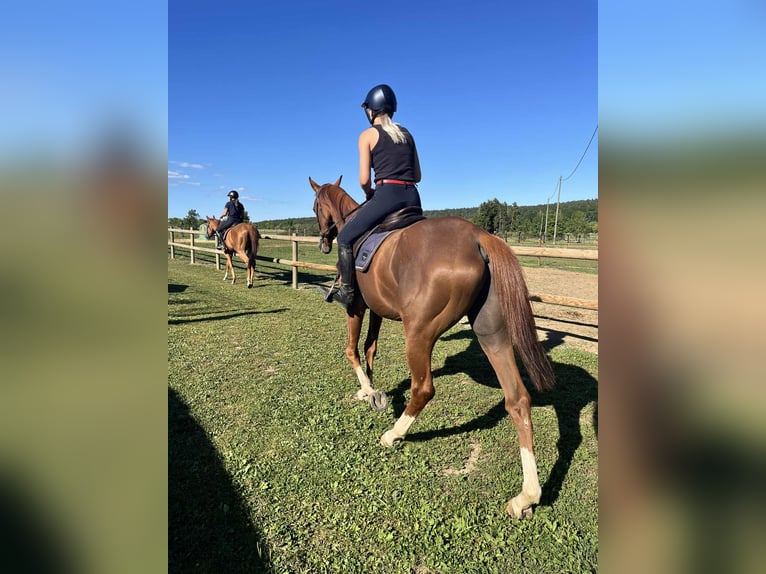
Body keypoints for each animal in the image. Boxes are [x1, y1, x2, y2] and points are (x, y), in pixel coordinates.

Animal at [310, 176, 555, 519]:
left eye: (315, 207)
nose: (323, 242)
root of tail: (478, 237)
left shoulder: (356, 306)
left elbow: (353, 349)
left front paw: (368, 391)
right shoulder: (377, 310)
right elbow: (371, 347)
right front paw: (370, 390)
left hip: (419, 332)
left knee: (423, 387)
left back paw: (394, 434)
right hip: (492, 333)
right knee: (517, 400)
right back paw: (526, 497)